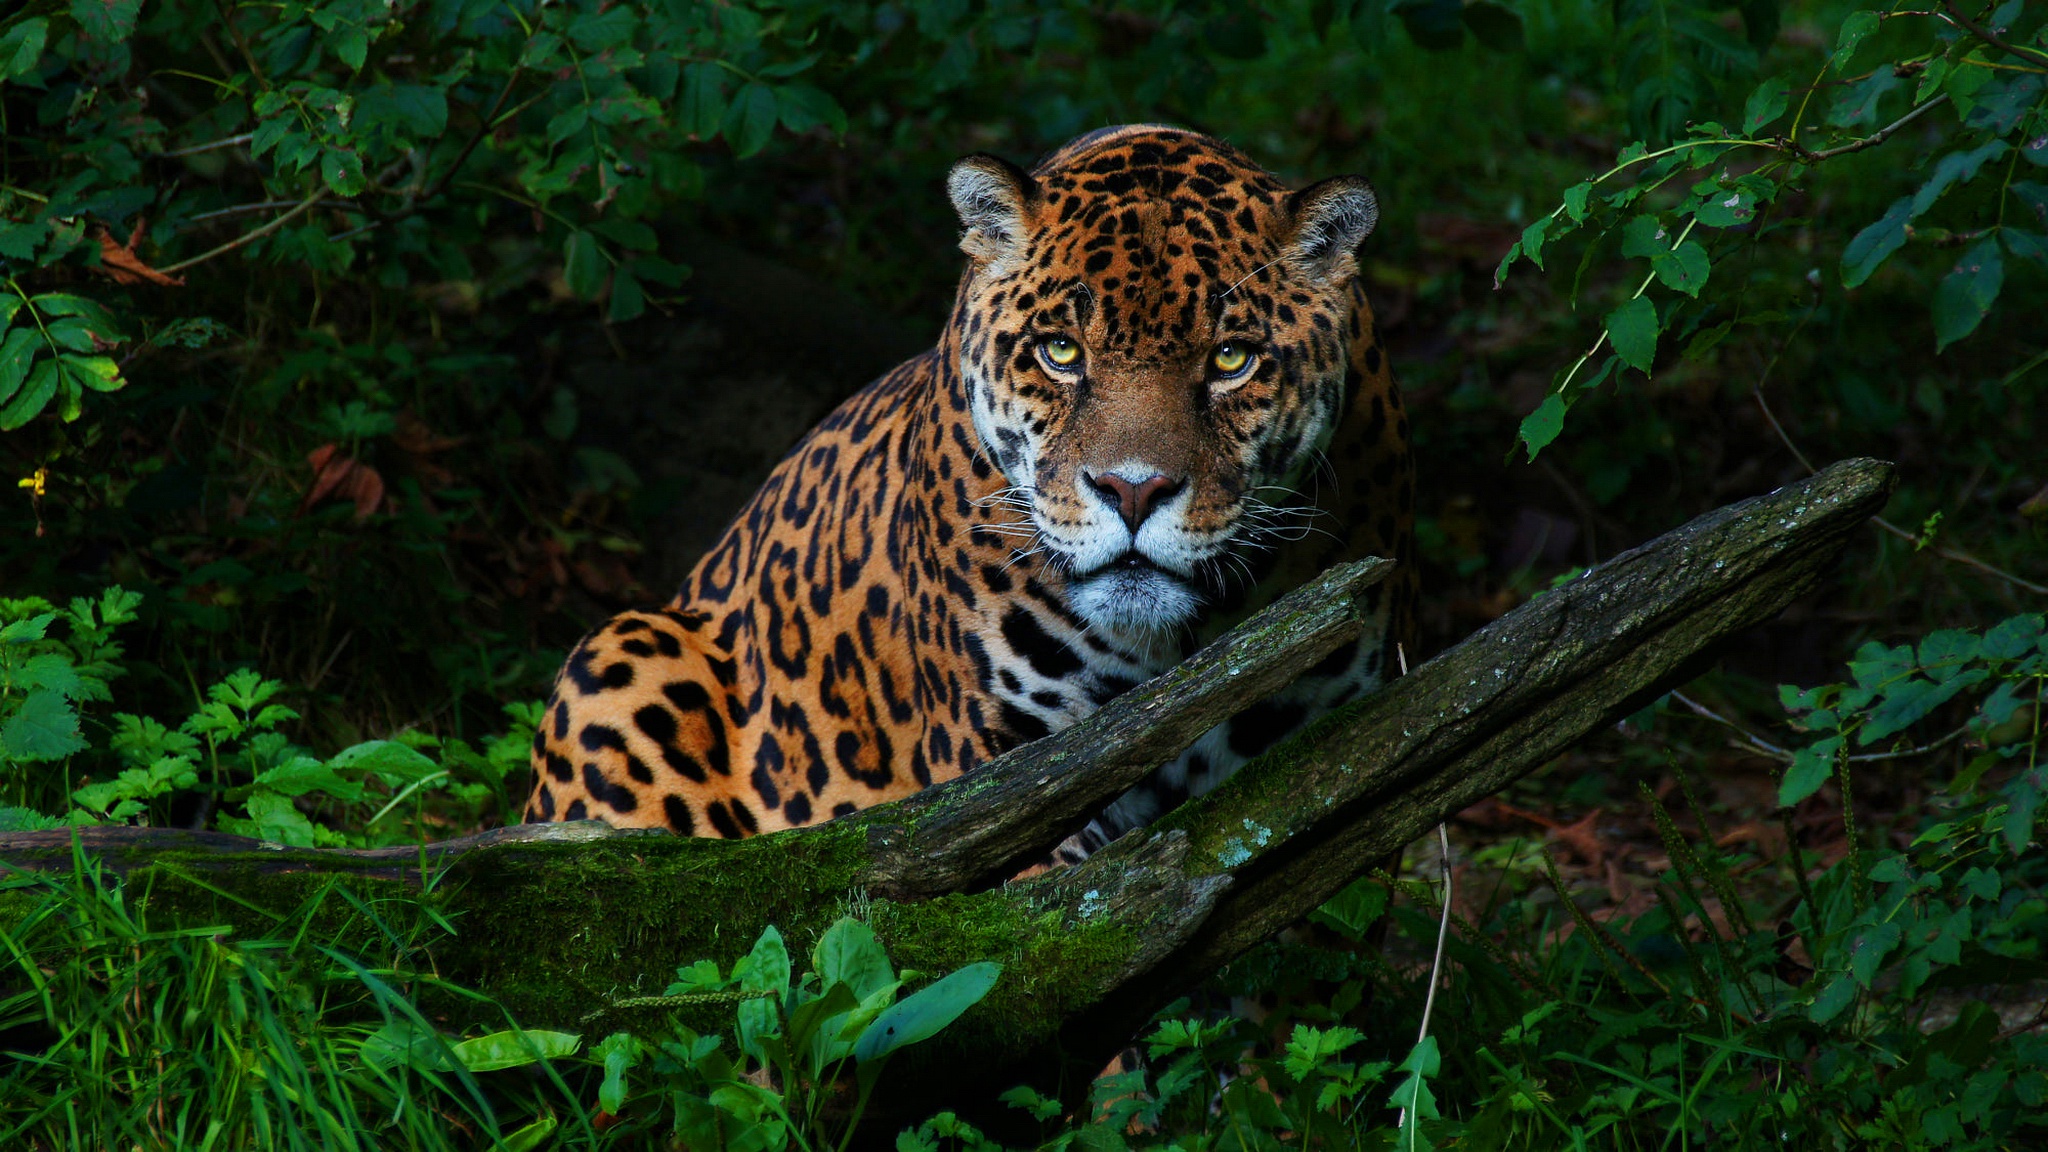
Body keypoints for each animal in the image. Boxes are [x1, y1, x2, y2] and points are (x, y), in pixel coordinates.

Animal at [524, 124, 1415, 857]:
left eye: (1232, 360)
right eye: (1061, 351)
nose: (1133, 492)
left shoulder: (1329, 747)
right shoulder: (1012, 782)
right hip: (624, 652)